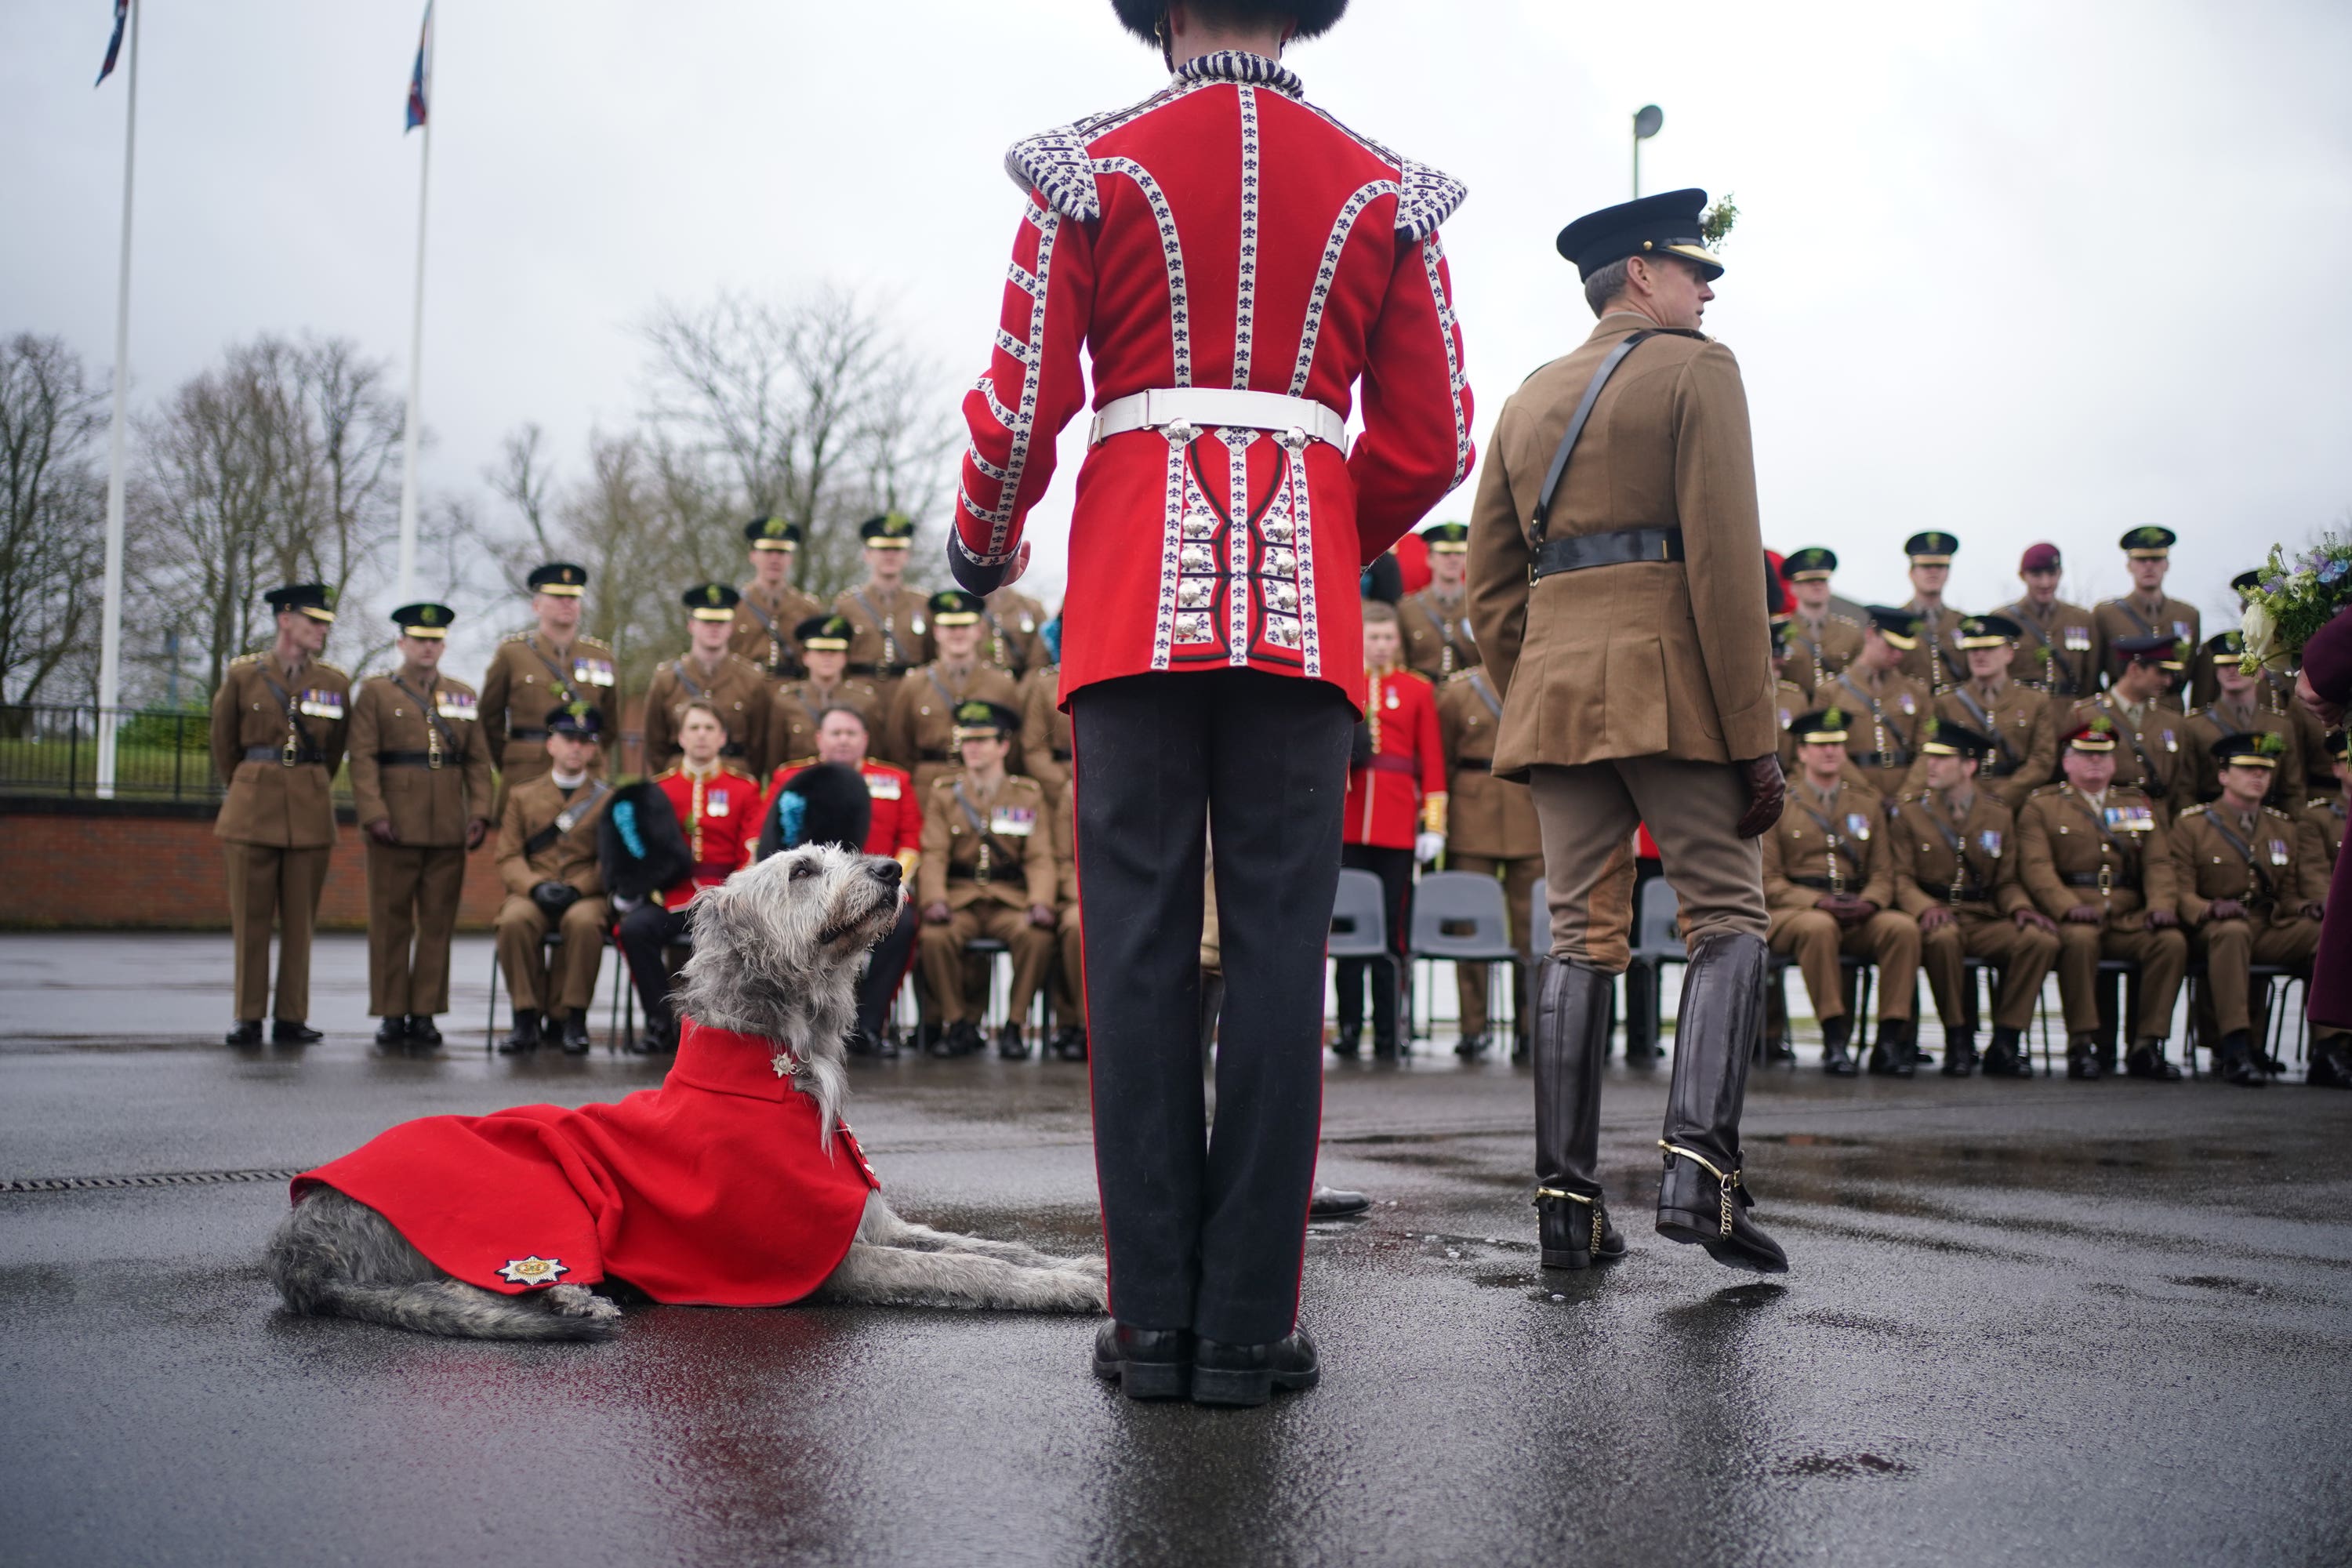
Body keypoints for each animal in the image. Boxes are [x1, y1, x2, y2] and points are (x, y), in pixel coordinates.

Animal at [262, 851, 1105, 1345]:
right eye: (803, 868)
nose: (894, 868)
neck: (783, 1074)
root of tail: (300, 1240)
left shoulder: (874, 1222)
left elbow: (984, 1245)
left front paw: (1083, 1262)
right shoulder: (829, 1258)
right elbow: (971, 1271)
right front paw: (1066, 1287)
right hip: (525, 1205)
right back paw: (569, 1302)